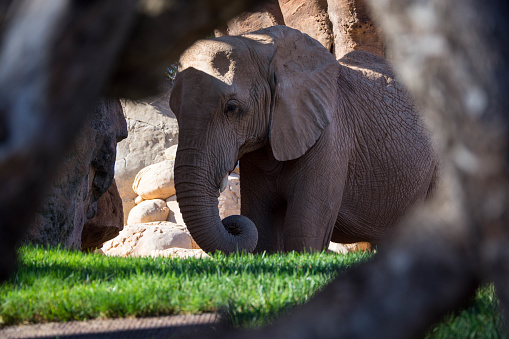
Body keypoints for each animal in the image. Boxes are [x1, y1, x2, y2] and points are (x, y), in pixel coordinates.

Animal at [170, 25, 436, 254]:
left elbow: (303, 229)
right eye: (173, 109)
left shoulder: (330, 137)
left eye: (232, 108)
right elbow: (261, 225)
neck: (261, 44)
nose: (231, 224)